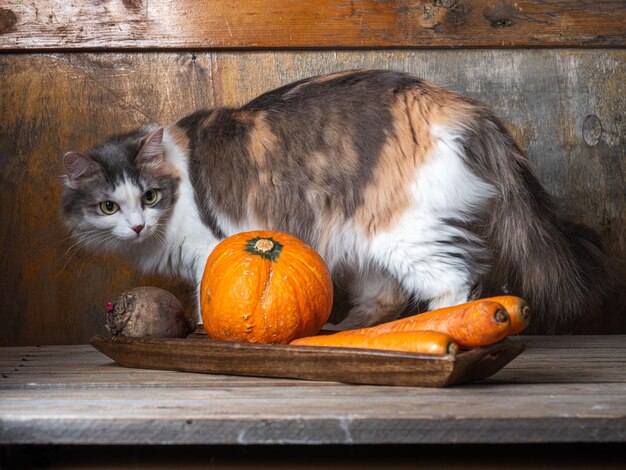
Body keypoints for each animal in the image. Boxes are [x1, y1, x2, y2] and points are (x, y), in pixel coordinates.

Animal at [62, 69, 608, 334]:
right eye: (109, 207)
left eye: (149, 197)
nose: (136, 225)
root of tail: (452, 101)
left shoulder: (205, 252)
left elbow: (202, 302)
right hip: (365, 242)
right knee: (386, 299)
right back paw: (338, 331)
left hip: (403, 230)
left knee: (455, 282)